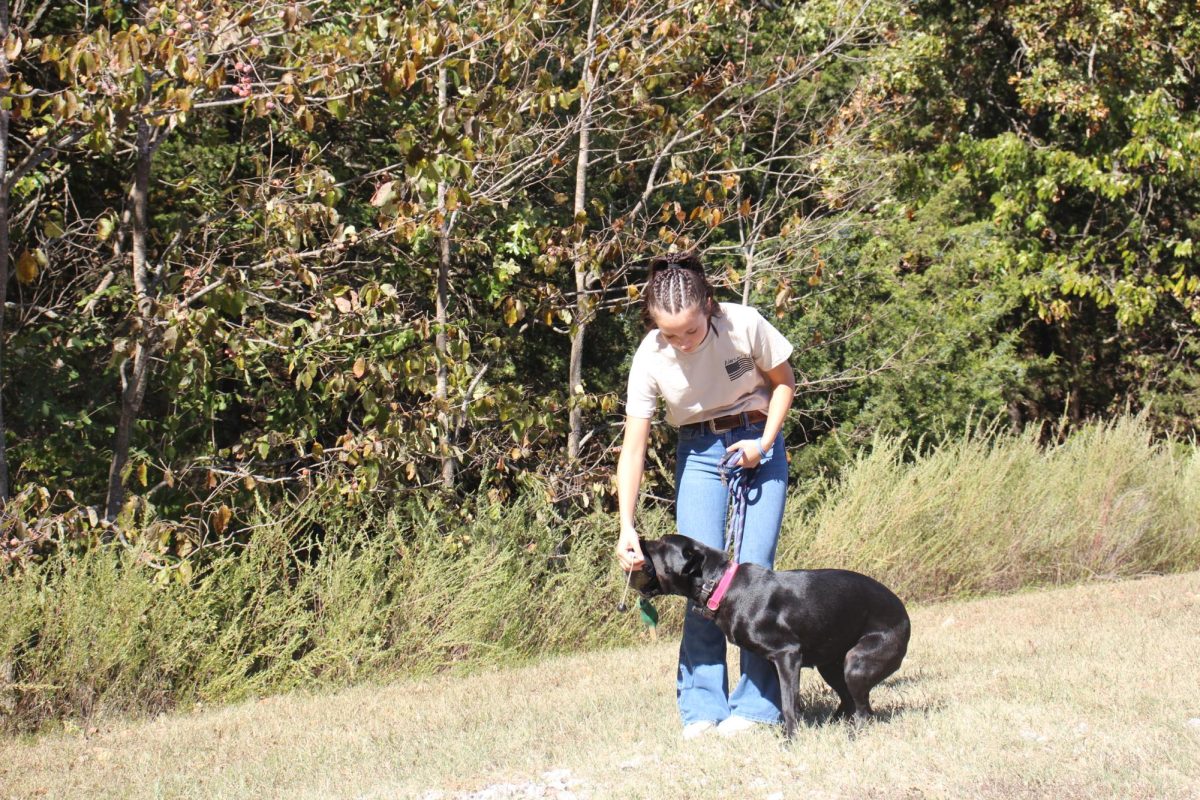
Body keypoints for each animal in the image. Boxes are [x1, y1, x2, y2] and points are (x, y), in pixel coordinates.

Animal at [628, 534, 907, 734]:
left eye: (661, 544)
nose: (636, 541)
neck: (720, 585)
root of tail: (904, 614)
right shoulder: (778, 662)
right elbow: (787, 702)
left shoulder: (788, 655)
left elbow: (789, 704)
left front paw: (791, 740)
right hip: (831, 665)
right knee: (850, 702)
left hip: (857, 664)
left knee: (863, 709)